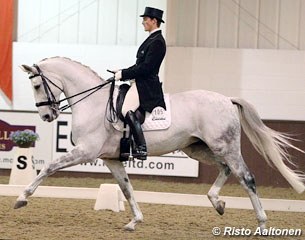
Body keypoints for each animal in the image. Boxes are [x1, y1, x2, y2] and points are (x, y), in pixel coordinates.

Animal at [17, 56, 302, 231]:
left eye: (36, 85)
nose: (46, 116)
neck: (94, 103)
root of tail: (227, 99)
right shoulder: (111, 159)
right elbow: (126, 188)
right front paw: (134, 221)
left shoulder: (85, 151)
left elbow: (48, 167)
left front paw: (22, 198)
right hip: (197, 148)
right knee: (226, 169)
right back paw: (217, 203)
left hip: (225, 146)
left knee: (247, 177)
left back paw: (262, 222)